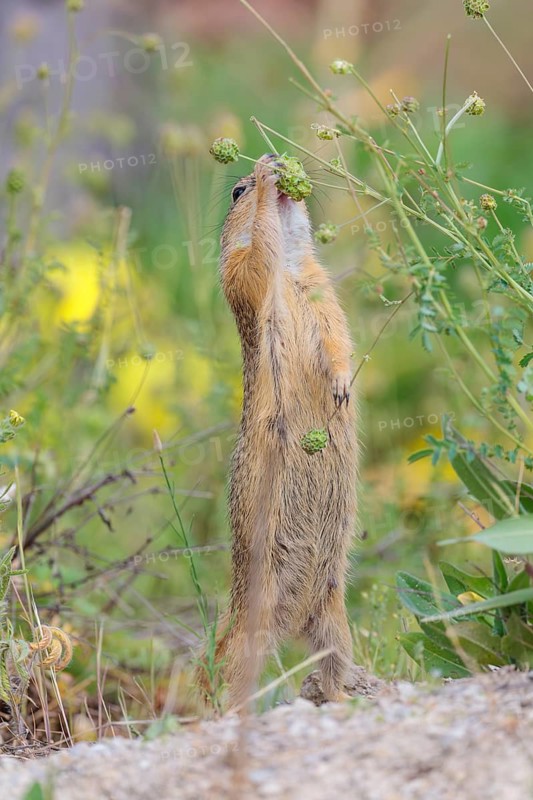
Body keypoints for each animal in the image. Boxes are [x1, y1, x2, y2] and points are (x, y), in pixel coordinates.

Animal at [196, 153, 358, 709]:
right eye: (236, 190)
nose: (272, 158)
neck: (290, 269)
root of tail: (295, 620)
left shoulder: (321, 287)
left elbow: (336, 336)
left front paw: (342, 386)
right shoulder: (243, 274)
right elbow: (251, 260)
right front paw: (268, 188)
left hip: (334, 618)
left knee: (330, 660)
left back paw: (341, 698)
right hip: (253, 624)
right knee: (228, 672)